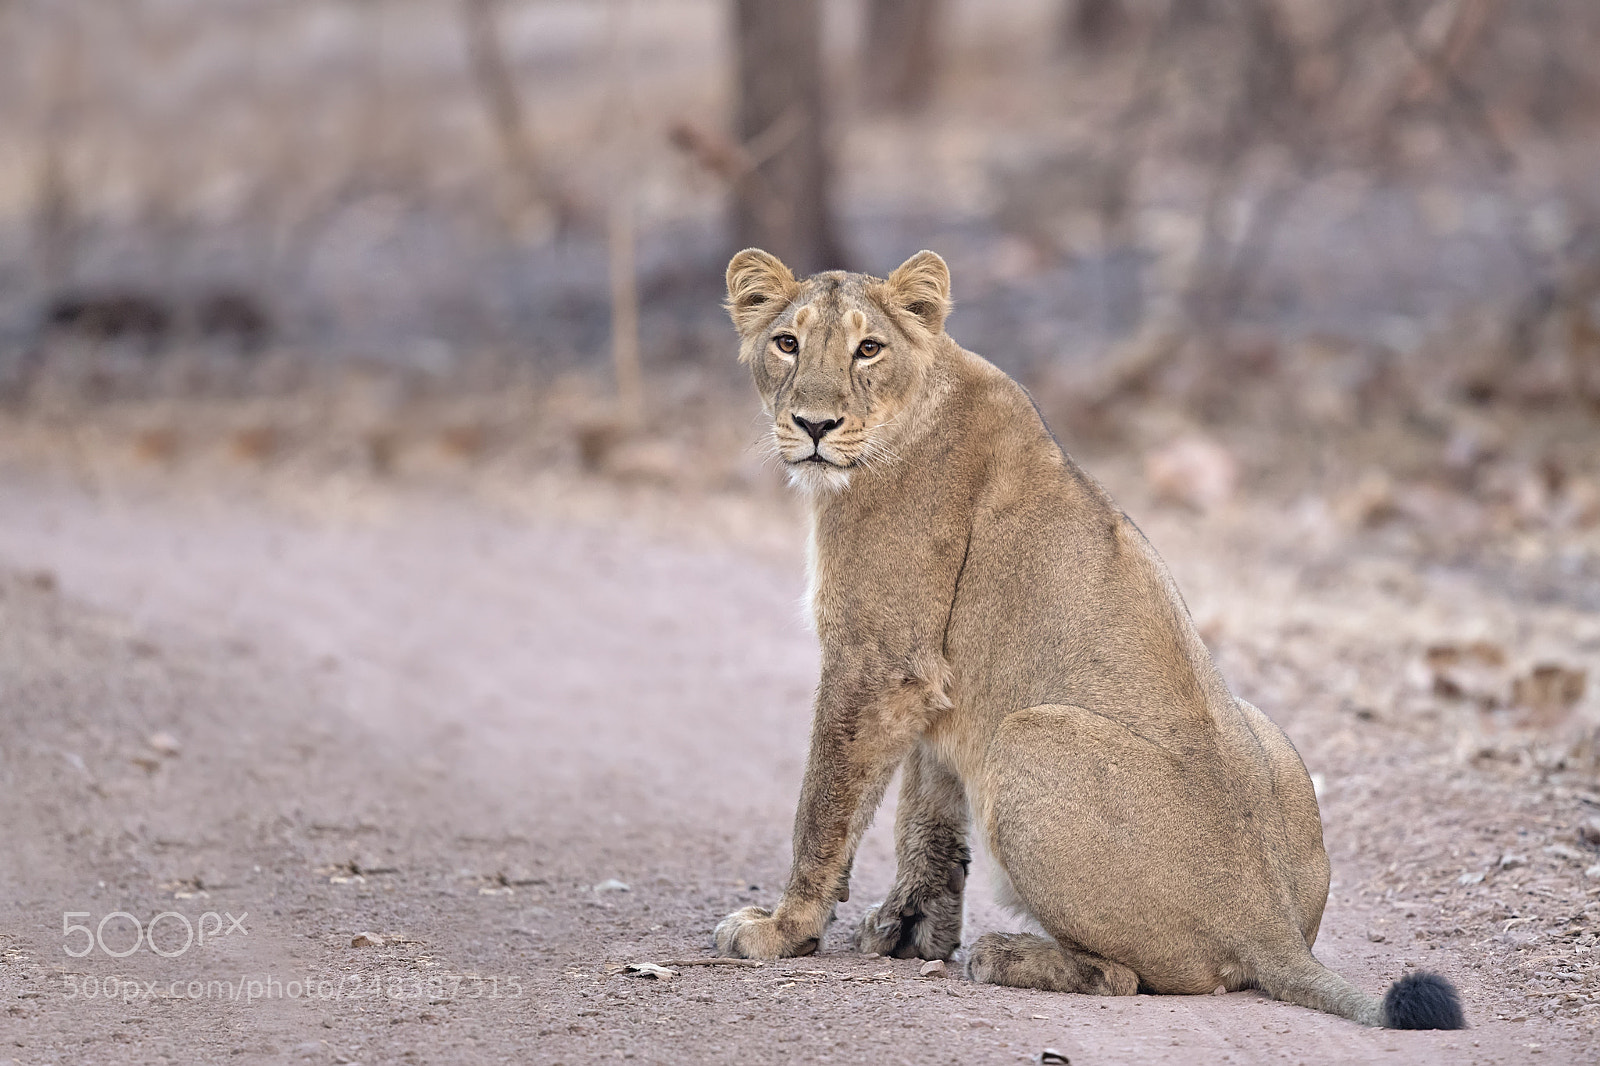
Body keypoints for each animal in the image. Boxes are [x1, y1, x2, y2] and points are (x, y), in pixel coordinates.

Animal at [710, 247, 1465, 1030]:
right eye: (786, 343)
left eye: (868, 348)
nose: (814, 425)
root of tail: (1271, 925)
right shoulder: (931, 681)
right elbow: (928, 815)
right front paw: (909, 929)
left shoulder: (879, 658)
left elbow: (826, 805)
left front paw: (784, 928)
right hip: (1254, 727)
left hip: (1028, 734)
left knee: (1130, 978)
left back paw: (1005, 955)